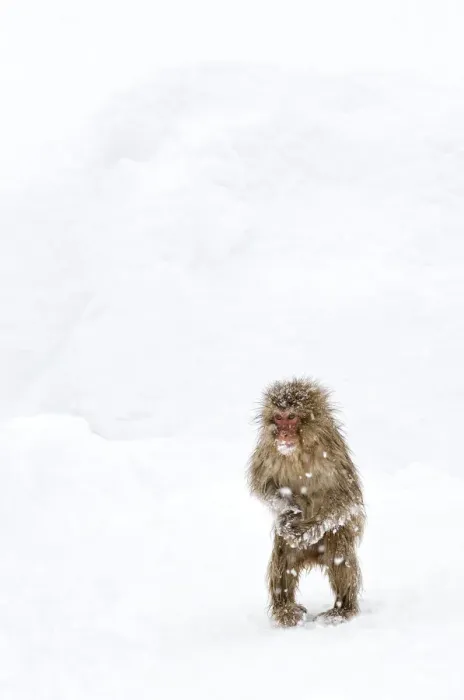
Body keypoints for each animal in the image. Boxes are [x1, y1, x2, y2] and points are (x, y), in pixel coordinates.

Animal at [248, 378, 365, 627]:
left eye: (292, 417)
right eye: (279, 417)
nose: (283, 434)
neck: (299, 449)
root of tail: (312, 556)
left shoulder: (333, 456)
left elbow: (347, 500)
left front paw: (307, 529)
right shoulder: (267, 450)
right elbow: (263, 486)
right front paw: (288, 511)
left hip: (335, 539)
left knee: (339, 552)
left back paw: (342, 609)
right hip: (290, 554)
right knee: (283, 558)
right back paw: (285, 609)